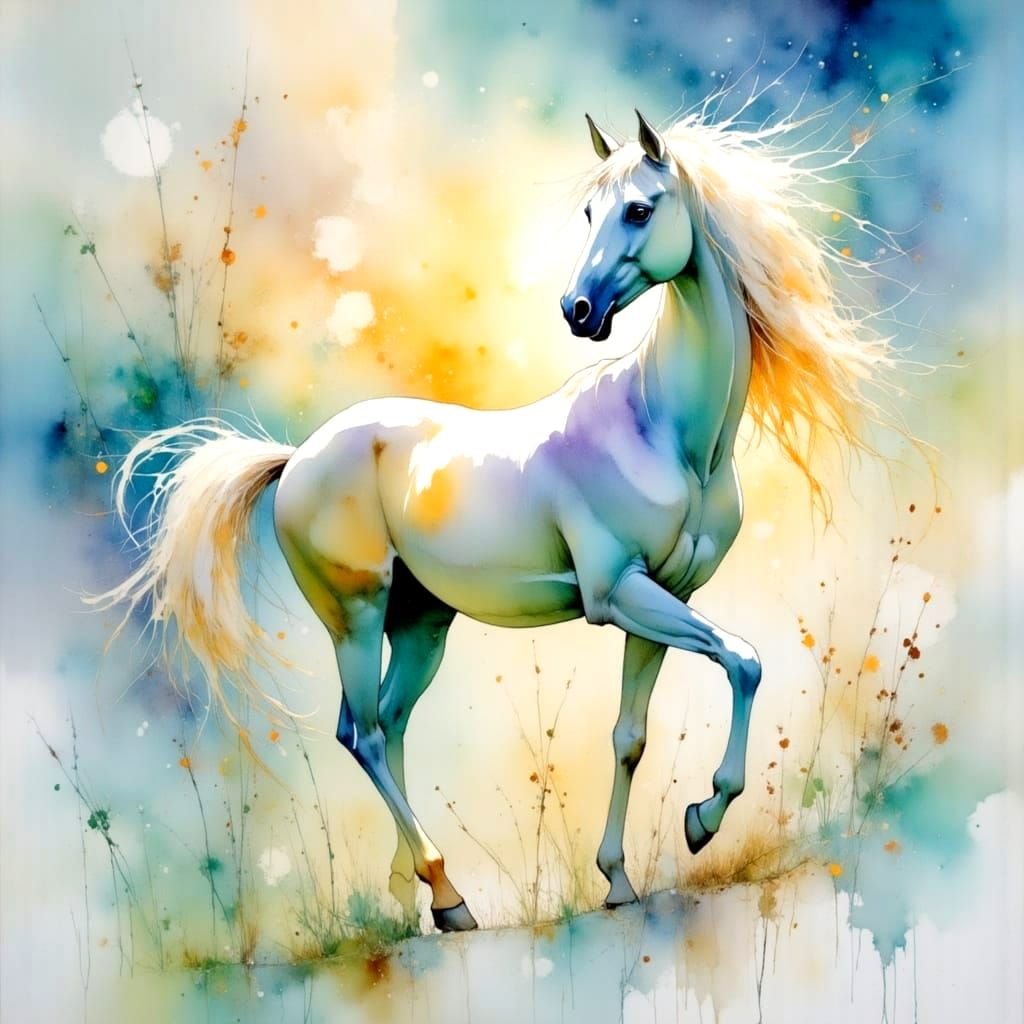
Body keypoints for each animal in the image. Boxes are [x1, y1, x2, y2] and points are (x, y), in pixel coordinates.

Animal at [95, 108, 890, 933]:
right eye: (589, 212)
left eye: (640, 209)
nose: (578, 311)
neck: (666, 431)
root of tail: (297, 457)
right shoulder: (619, 594)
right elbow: (744, 659)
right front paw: (703, 819)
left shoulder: (667, 598)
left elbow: (631, 735)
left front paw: (620, 880)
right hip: (355, 616)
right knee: (363, 733)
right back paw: (449, 894)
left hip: (420, 624)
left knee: (391, 722)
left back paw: (410, 895)